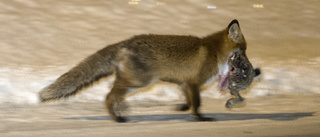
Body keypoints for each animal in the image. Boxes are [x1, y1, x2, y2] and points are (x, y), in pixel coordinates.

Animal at [40, 19, 254, 122]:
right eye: (243, 51)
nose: (251, 67)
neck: (215, 52)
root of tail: (126, 42)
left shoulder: (186, 82)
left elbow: (188, 101)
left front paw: (182, 108)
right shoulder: (195, 82)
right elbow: (197, 104)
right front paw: (201, 119)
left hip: (135, 81)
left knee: (113, 93)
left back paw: (119, 111)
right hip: (141, 81)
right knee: (109, 95)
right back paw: (117, 117)